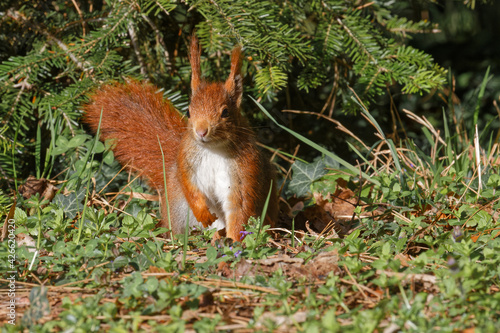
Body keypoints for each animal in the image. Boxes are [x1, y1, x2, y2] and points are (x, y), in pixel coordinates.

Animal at [82, 35, 278, 239]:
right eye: (188, 112)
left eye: (225, 112)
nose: (201, 131)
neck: (213, 150)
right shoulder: (187, 162)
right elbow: (189, 188)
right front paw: (203, 213)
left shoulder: (244, 172)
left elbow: (239, 210)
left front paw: (235, 240)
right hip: (181, 211)